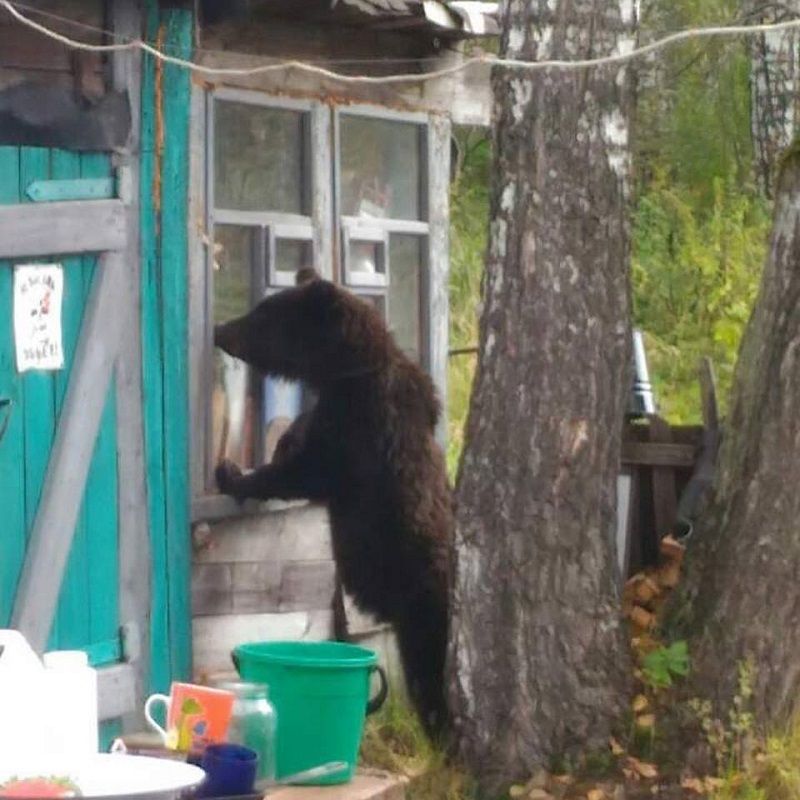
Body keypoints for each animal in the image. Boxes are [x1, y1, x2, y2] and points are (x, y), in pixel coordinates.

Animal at [214, 268, 453, 738]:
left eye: (263, 315)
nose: (220, 329)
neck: (343, 372)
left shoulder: (357, 431)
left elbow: (305, 471)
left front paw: (233, 473)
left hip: (424, 613)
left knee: (429, 682)